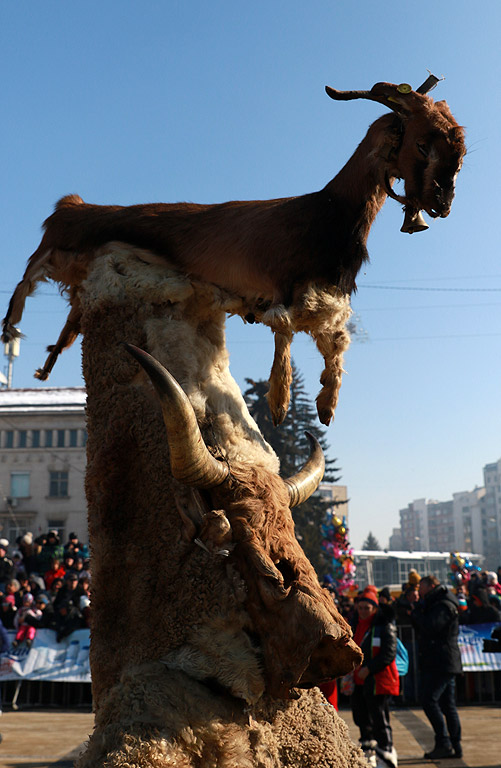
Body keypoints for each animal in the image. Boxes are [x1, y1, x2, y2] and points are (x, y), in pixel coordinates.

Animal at [1, 79, 462, 420]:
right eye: (421, 144)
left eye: (457, 143)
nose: (441, 204)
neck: (330, 209)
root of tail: (72, 206)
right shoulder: (286, 290)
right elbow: (284, 338)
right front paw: (279, 404)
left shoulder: (326, 301)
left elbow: (333, 347)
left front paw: (325, 405)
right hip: (58, 249)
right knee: (25, 280)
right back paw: (12, 329)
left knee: (71, 316)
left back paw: (46, 363)